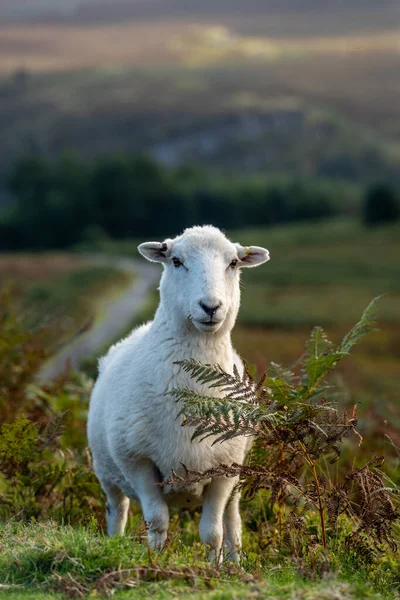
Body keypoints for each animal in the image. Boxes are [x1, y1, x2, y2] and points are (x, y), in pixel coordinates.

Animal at [87, 226, 268, 564]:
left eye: (233, 262)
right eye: (176, 260)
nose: (210, 306)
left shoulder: (225, 470)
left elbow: (213, 533)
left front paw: (214, 569)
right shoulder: (138, 461)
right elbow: (157, 521)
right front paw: (154, 561)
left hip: (238, 476)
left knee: (233, 521)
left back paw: (235, 565)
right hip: (107, 472)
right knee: (116, 508)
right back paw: (113, 542)